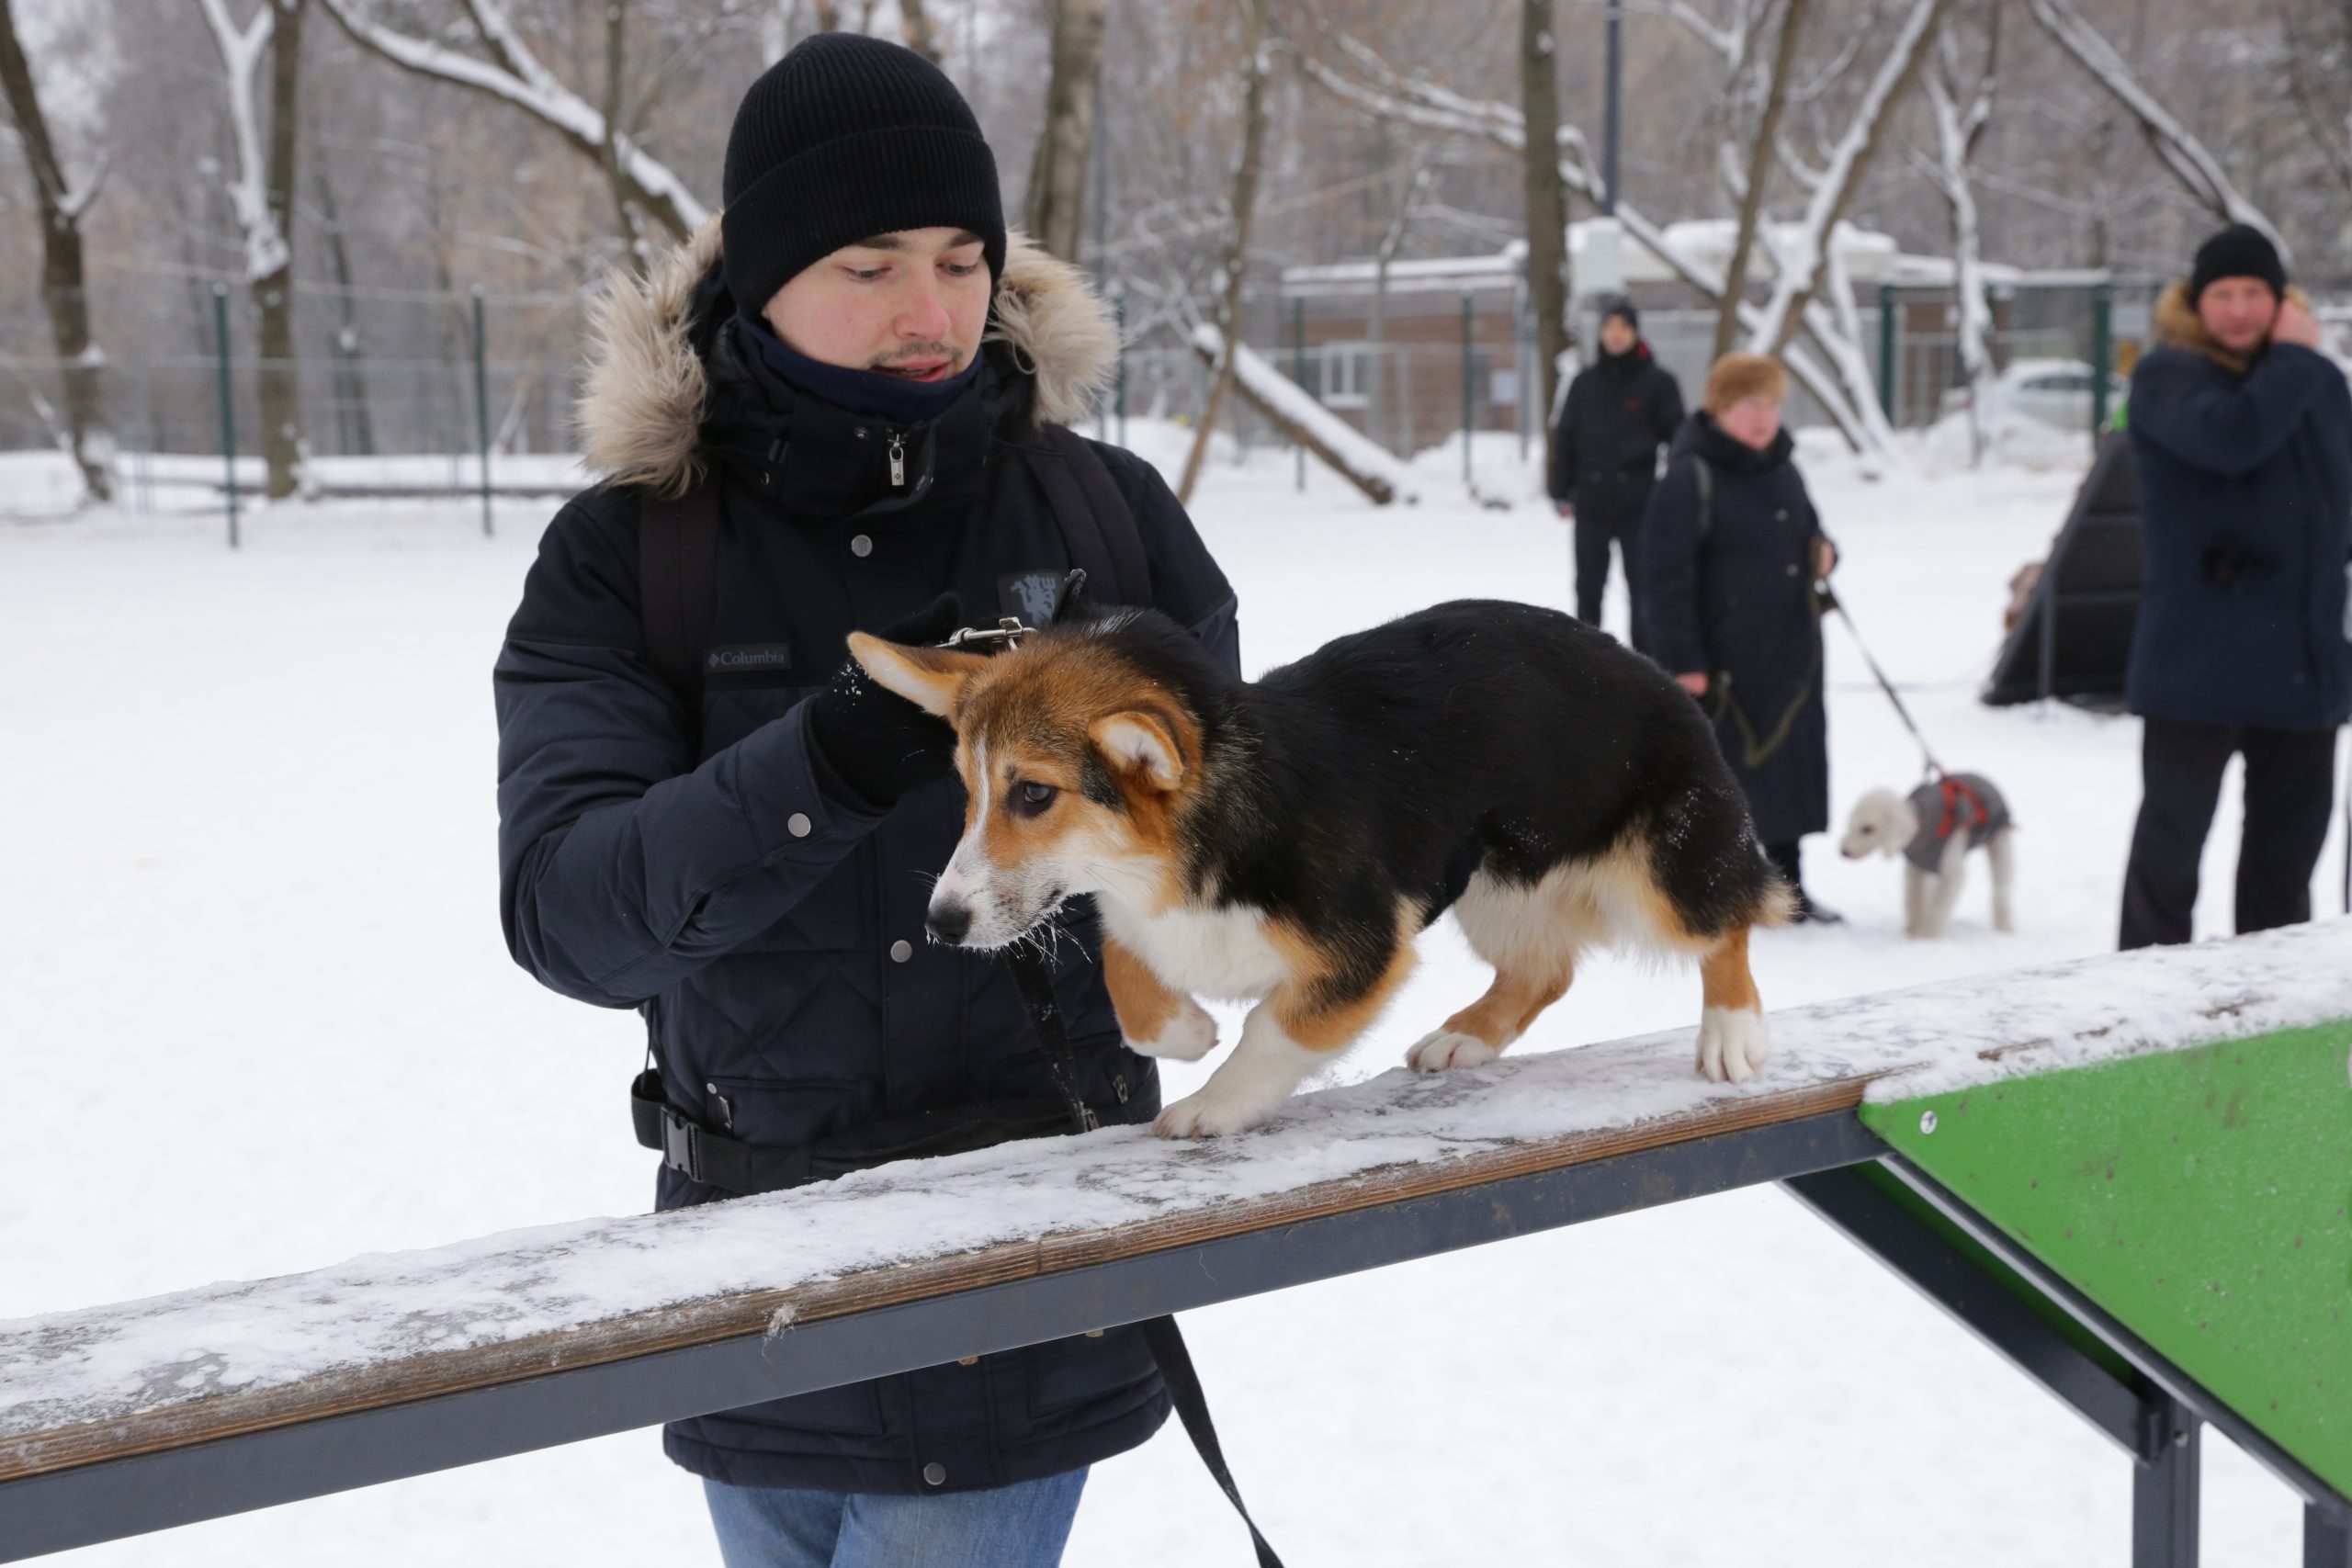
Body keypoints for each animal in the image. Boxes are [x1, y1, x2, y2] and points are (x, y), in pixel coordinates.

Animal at [1844, 771, 2013, 940]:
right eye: (1851, 823)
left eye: (1867, 829)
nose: (1844, 852)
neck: (1922, 825)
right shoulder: (1916, 867)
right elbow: (1914, 898)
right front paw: (1912, 932)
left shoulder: (1950, 868)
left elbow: (1940, 905)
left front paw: (1928, 937)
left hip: (1999, 840)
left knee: (2001, 889)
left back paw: (2005, 928)